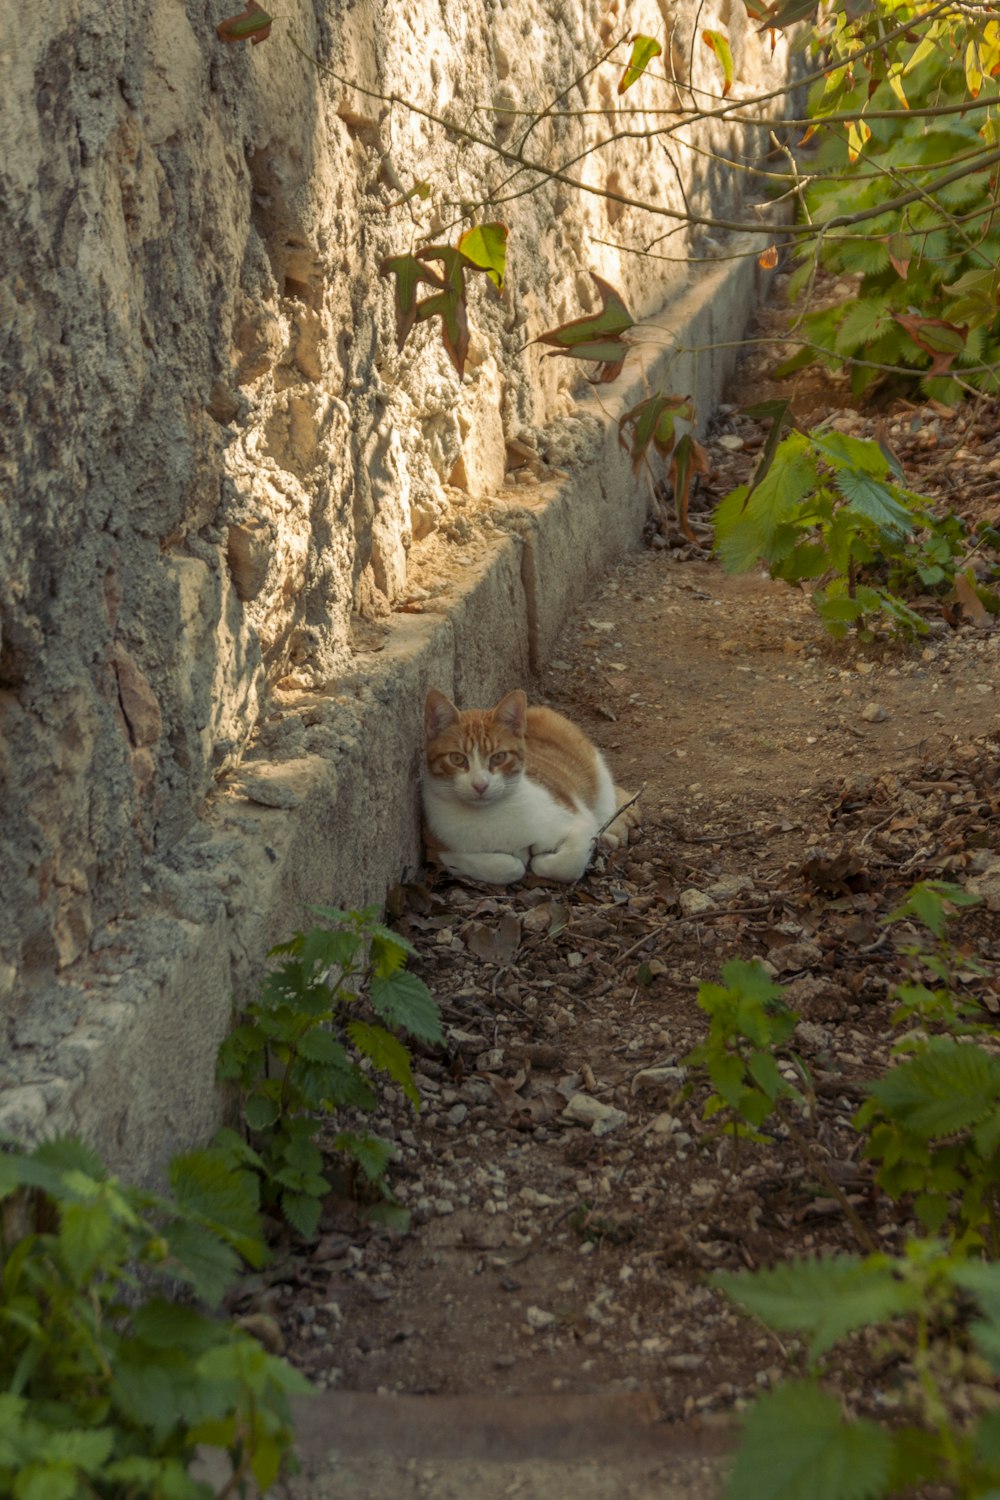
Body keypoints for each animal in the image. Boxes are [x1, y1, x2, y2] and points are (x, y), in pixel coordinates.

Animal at [419, 687, 638, 882]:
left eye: (499, 757)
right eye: (457, 759)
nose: (480, 785)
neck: (488, 815)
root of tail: (532, 710)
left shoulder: (579, 822)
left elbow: (569, 862)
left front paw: (540, 859)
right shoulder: (436, 847)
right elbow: (506, 867)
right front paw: (517, 860)